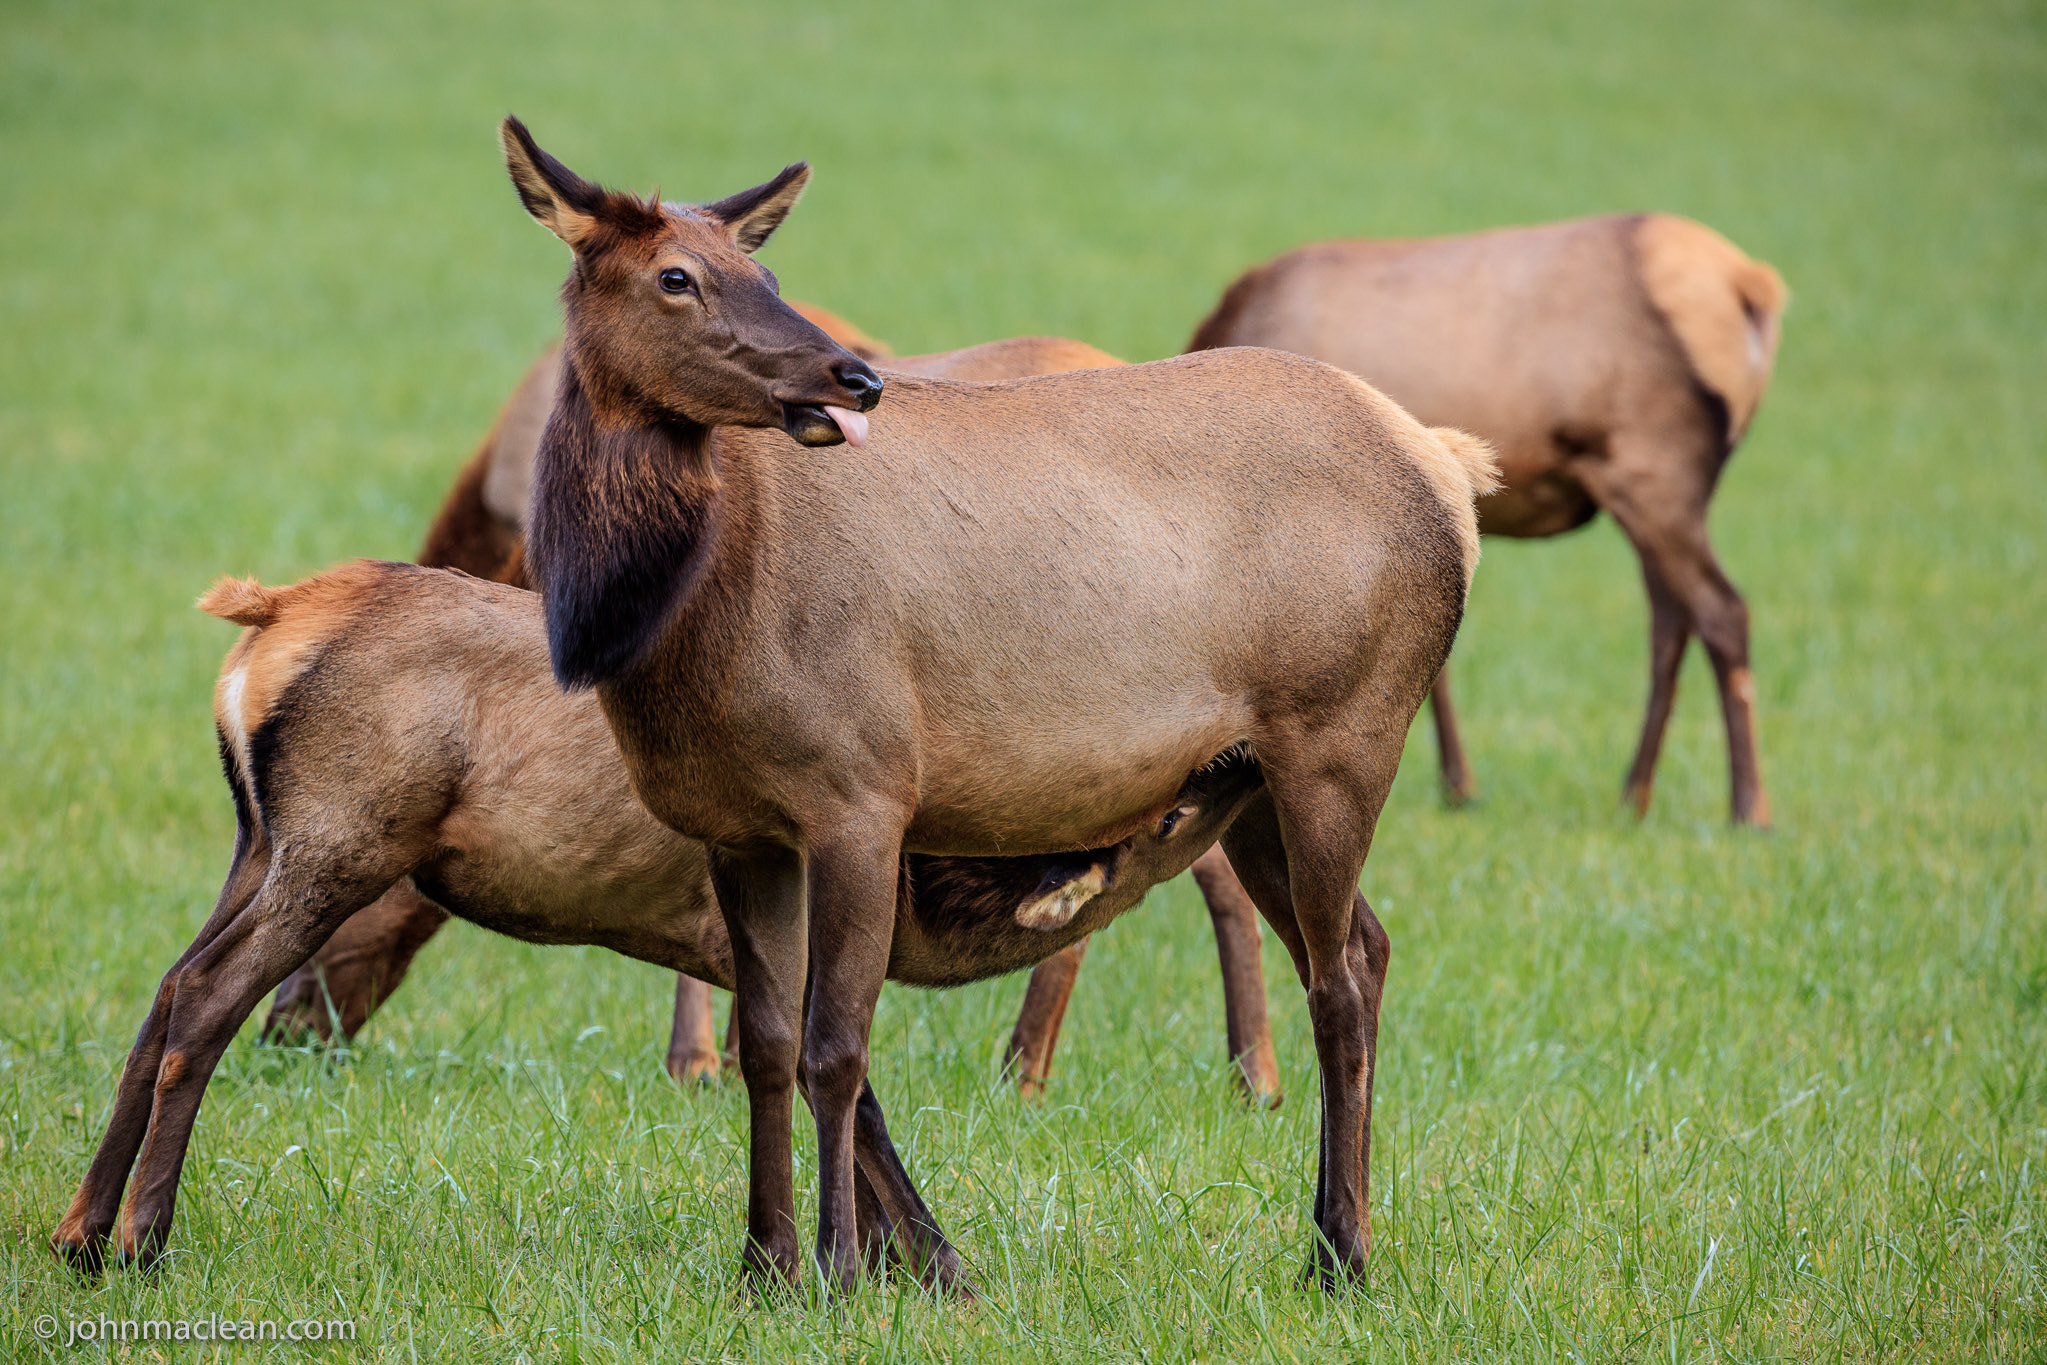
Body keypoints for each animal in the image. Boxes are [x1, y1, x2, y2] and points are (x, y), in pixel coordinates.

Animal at [51, 564, 1260, 1293]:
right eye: (1164, 812)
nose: (1238, 754)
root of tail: (265, 616)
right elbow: (855, 1090)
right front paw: (929, 1266)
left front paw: (892, 1263)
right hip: (341, 839)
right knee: (207, 1001)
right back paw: (143, 1239)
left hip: (258, 842)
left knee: (166, 984)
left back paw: (79, 1233)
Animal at [491, 117, 1490, 1293]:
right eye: (676, 277)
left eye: (766, 273)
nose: (855, 378)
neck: (672, 628)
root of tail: (1451, 468)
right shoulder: (740, 828)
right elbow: (767, 1046)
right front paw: (761, 1267)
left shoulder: (862, 791)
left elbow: (836, 1047)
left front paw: (836, 1271)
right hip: (1248, 782)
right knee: (1367, 950)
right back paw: (1341, 1239)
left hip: (1342, 732)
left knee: (1336, 979)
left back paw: (1336, 1258)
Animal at [1187, 218, 1793, 826]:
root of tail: (1750, 287)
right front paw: (1458, 785)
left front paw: (1455, 785)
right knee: (1670, 623)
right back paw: (1633, 796)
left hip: (1654, 473)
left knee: (1722, 611)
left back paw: (1749, 809)